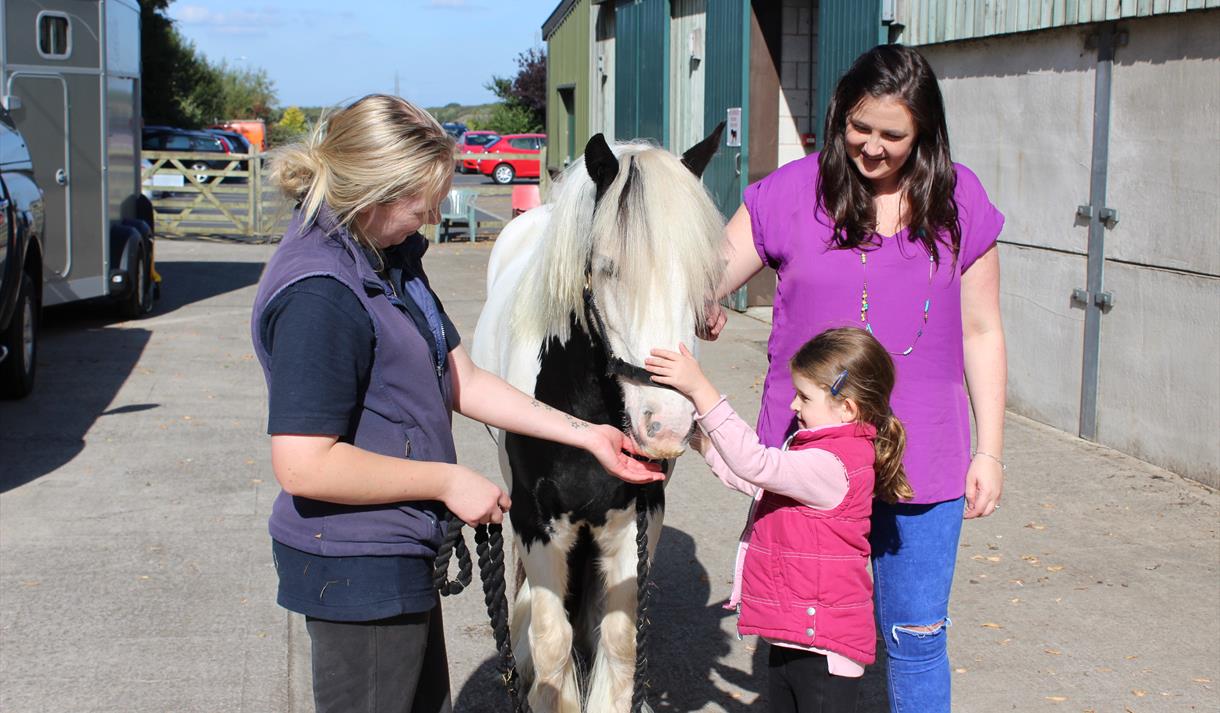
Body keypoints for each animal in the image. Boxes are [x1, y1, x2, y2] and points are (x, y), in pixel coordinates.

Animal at [470, 128, 722, 713]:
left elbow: (620, 637)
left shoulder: (638, 517)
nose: (667, 425)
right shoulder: (534, 518)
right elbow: (551, 641)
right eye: (607, 268)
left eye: (701, 280)